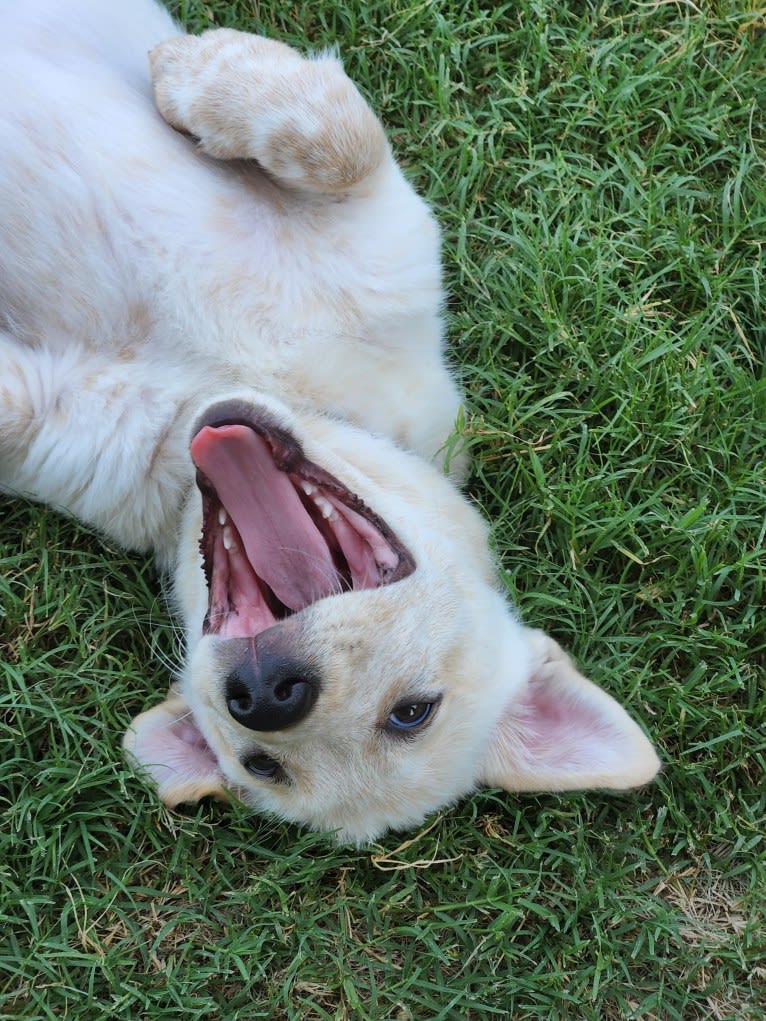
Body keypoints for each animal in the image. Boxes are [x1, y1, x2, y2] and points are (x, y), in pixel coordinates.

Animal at [0, 0, 661, 845]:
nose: (267, 693)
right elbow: (338, 136)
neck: (238, 378)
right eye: (417, 712)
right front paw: (190, 68)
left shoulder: (48, 416)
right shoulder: (386, 223)